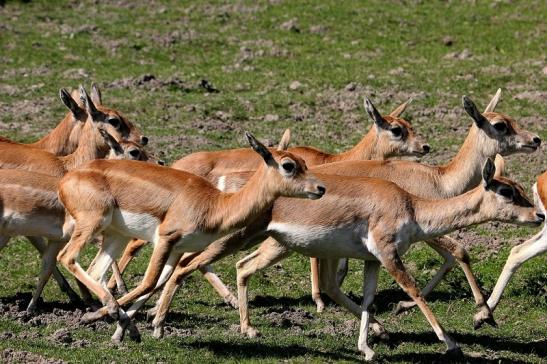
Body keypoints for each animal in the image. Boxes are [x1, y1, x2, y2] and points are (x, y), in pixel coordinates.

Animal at [0, 136, 159, 312]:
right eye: (134, 151)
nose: (160, 161)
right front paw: (108, 295)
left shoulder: (59, 239)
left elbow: (47, 268)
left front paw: (31, 308)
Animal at [55, 132, 326, 342]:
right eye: (288, 165)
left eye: (304, 162)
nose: (320, 188)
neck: (214, 204)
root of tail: (67, 178)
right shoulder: (165, 239)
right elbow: (149, 282)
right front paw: (103, 319)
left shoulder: (178, 249)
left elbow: (163, 280)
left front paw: (136, 330)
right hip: (92, 224)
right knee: (67, 257)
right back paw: (101, 310)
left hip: (115, 236)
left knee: (94, 271)